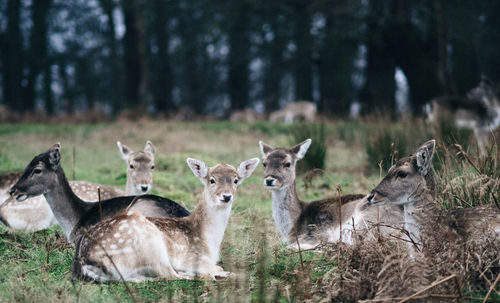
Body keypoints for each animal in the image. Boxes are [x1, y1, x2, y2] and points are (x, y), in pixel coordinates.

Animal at [72, 157, 260, 282]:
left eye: (236, 180)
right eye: (212, 180)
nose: (226, 196)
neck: (208, 240)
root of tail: (86, 262)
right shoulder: (191, 256)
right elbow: (218, 268)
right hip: (151, 246)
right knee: (170, 275)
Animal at [260, 139, 404, 251]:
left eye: (287, 163)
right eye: (264, 163)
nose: (269, 180)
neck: (293, 226)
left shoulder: (316, 233)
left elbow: (293, 246)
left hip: (365, 220)